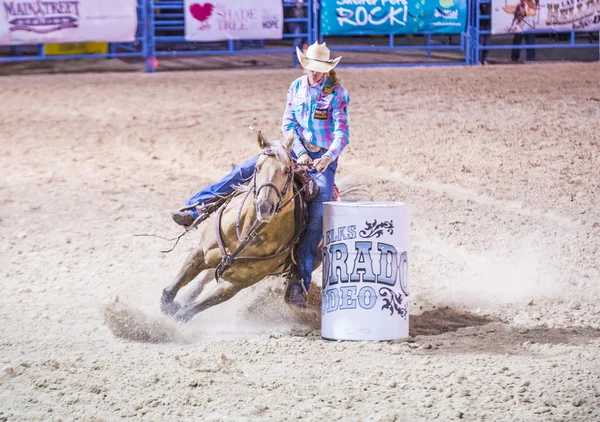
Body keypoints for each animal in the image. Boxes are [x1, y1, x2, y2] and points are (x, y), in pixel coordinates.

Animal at [161, 134, 302, 322]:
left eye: (286, 170)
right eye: (257, 168)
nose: (264, 206)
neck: (247, 232)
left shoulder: (234, 284)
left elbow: (186, 312)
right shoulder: (200, 252)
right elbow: (171, 289)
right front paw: (168, 305)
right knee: (204, 279)